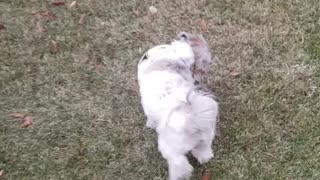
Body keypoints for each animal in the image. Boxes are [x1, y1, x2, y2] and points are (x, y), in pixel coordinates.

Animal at [137, 32, 218, 180]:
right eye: (205, 62)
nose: (200, 76)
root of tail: (190, 120)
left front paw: (150, 124)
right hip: (206, 137)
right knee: (204, 151)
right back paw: (204, 158)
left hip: (169, 147)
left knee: (178, 162)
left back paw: (179, 174)